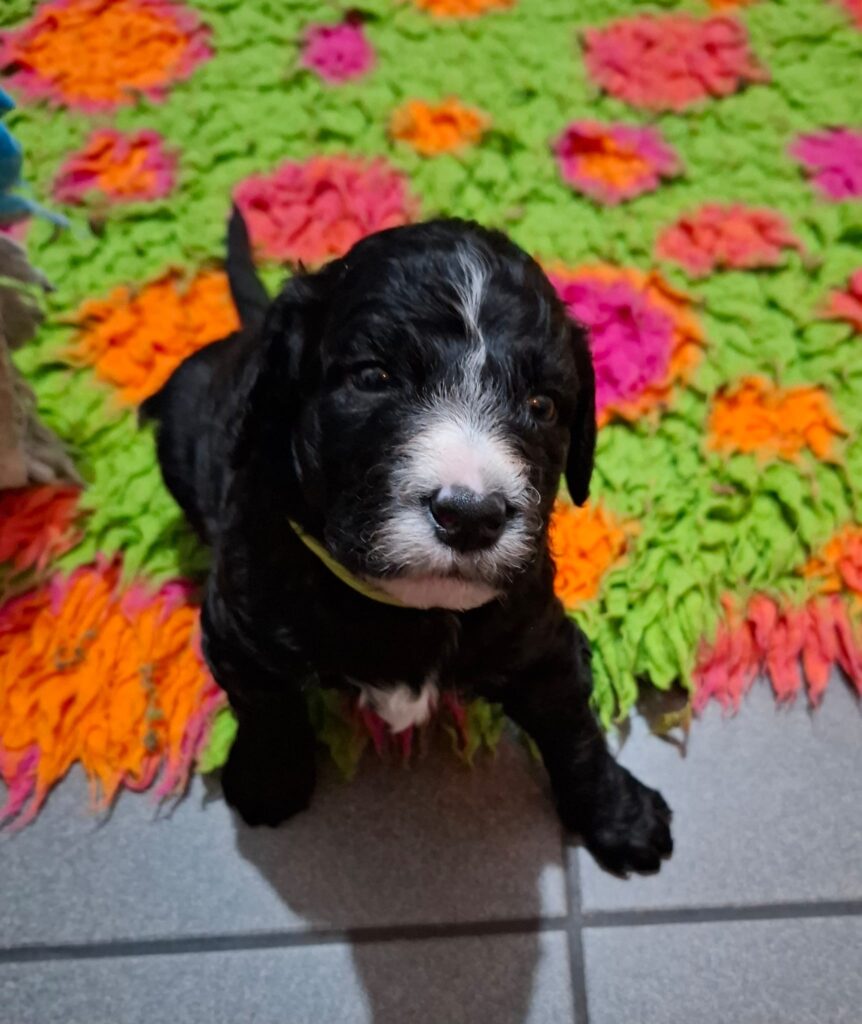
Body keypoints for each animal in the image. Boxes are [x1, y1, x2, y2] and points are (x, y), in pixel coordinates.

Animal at [142, 210, 673, 875]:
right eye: (374, 377)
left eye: (543, 405)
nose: (471, 516)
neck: (408, 608)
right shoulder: (239, 625)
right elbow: (266, 707)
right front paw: (269, 782)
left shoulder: (537, 634)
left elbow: (574, 726)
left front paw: (620, 816)